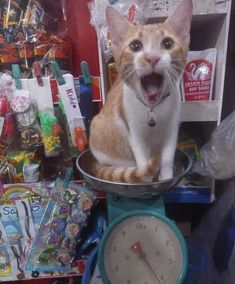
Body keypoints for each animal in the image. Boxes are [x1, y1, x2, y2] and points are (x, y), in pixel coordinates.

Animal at [89, 0, 192, 182]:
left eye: (167, 43)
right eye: (135, 46)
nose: (152, 57)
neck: (153, 110)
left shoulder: (171, 131)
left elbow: (167, 159)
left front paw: (165, 177)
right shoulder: (135, 136)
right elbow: (143, 162)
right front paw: (147, 178)